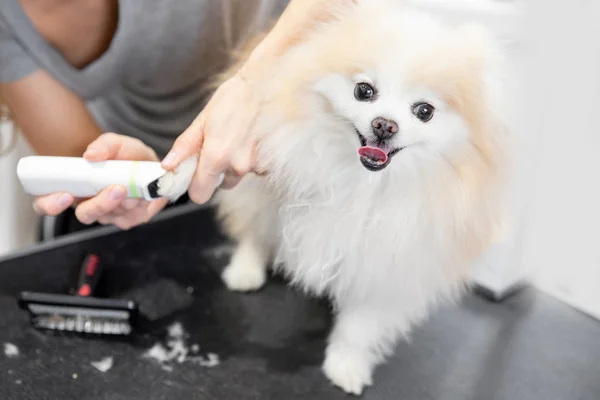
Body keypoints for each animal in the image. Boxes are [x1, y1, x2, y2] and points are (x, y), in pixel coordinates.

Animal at [159, 0, 510, 394]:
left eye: (425, 111)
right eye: (364, 91)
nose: (384, 124)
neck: (360, 180)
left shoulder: (392, 263)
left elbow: (359, 327)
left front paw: (345, 366)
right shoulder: (266, 145)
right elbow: (208, 158)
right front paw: (174, 176)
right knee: (256, 226)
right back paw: (245, 271)